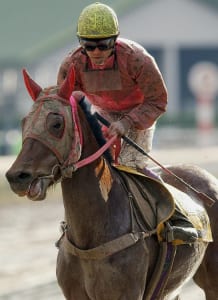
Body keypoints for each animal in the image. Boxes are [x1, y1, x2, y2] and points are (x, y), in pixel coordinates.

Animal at [4, 64, 218, 298]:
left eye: (56, 123)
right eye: (24, 122)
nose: (17, 176)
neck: (90, 238)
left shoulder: (127, 293)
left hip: (210, 281)